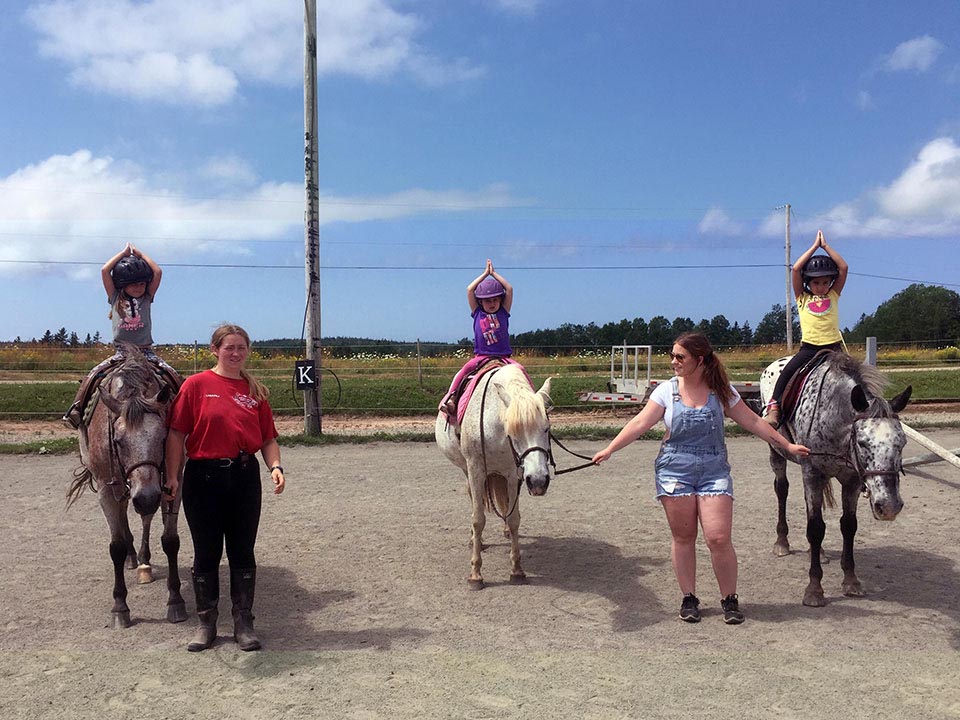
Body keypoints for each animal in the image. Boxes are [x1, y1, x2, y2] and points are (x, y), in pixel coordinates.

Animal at [66, 352, 187, 628]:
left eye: (163, 437)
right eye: (118, 441)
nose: (147, 497)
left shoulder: (172, 483)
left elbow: (170, 540)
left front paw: (175, 600)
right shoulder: (106, 489)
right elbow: (117, 546)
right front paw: (120, 606)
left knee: (145, 518)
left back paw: (144, 561)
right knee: (124, 519)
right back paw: (134, 558)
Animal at [436, 362, 556, 588]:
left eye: (546, 428)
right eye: (513, 431)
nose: (538, 481)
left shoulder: (513, 474)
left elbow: (514, 518)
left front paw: (517, 569)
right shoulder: (475, 470)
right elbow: (478, 519)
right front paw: (475, 573)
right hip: (467, 470)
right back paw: (475, 540)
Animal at [760, 352, 912, 604]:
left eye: (902, 443)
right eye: (862, 442)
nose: (889, 506)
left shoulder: (851, 480)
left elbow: (848, 526)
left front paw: (851, 581)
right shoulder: (812, 472)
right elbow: (815, 528)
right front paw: (814, 589)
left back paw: (818, 553)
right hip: (777, 454)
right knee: (782, 489)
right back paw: (782, 543)